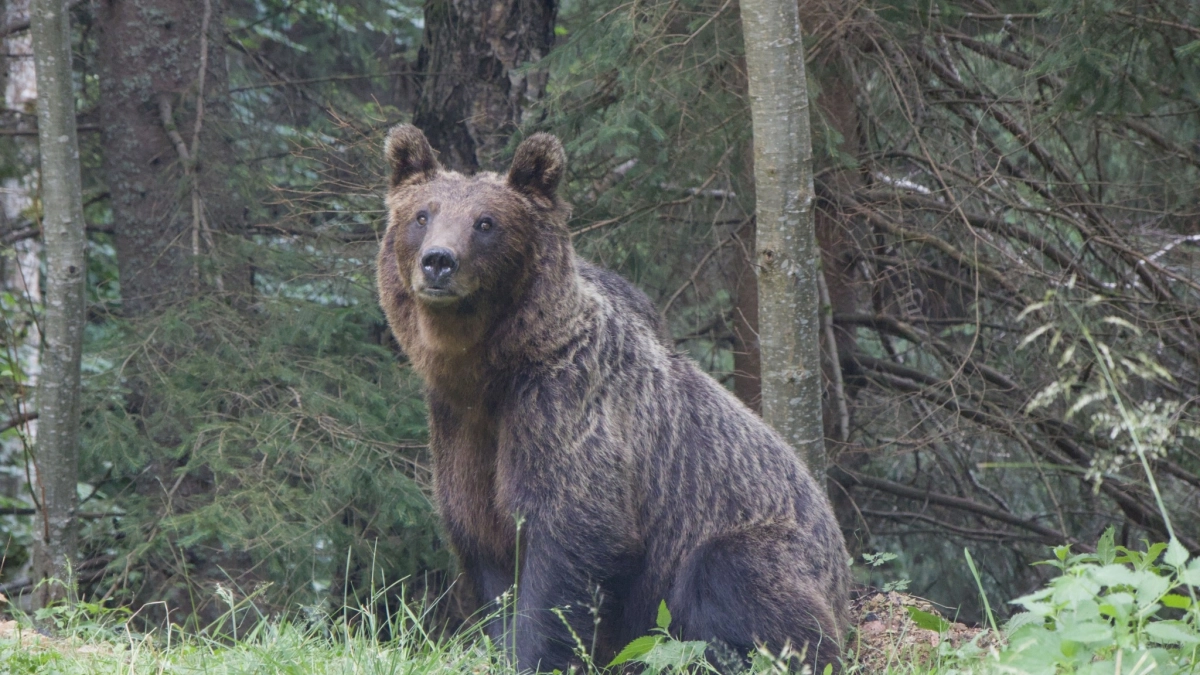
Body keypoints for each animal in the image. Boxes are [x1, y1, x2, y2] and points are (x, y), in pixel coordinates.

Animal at [375, 124, 850, 673]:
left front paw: (538, 653)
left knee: (735, 576)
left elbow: (570, 540)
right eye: (422, 214)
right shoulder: (462, 430)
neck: (491, 371)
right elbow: (488, 550)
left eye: (486, 222)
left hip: (769, 540)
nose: (439, 262)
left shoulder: (562, 407)